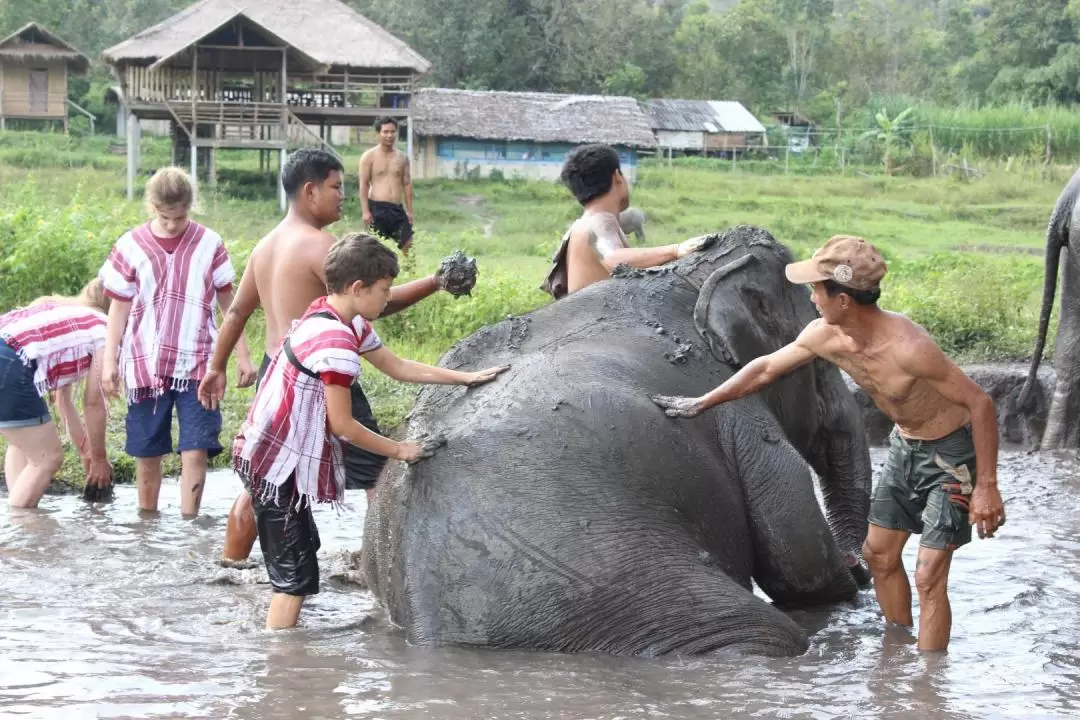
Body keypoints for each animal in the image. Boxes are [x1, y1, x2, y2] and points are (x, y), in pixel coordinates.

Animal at [362, 225, 868, 660]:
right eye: (821, 347)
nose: (859, 565)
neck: (689, 278)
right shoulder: (735, 412)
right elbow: (797, 564)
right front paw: (850, 583)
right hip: (628, 596)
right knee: (764, 634)